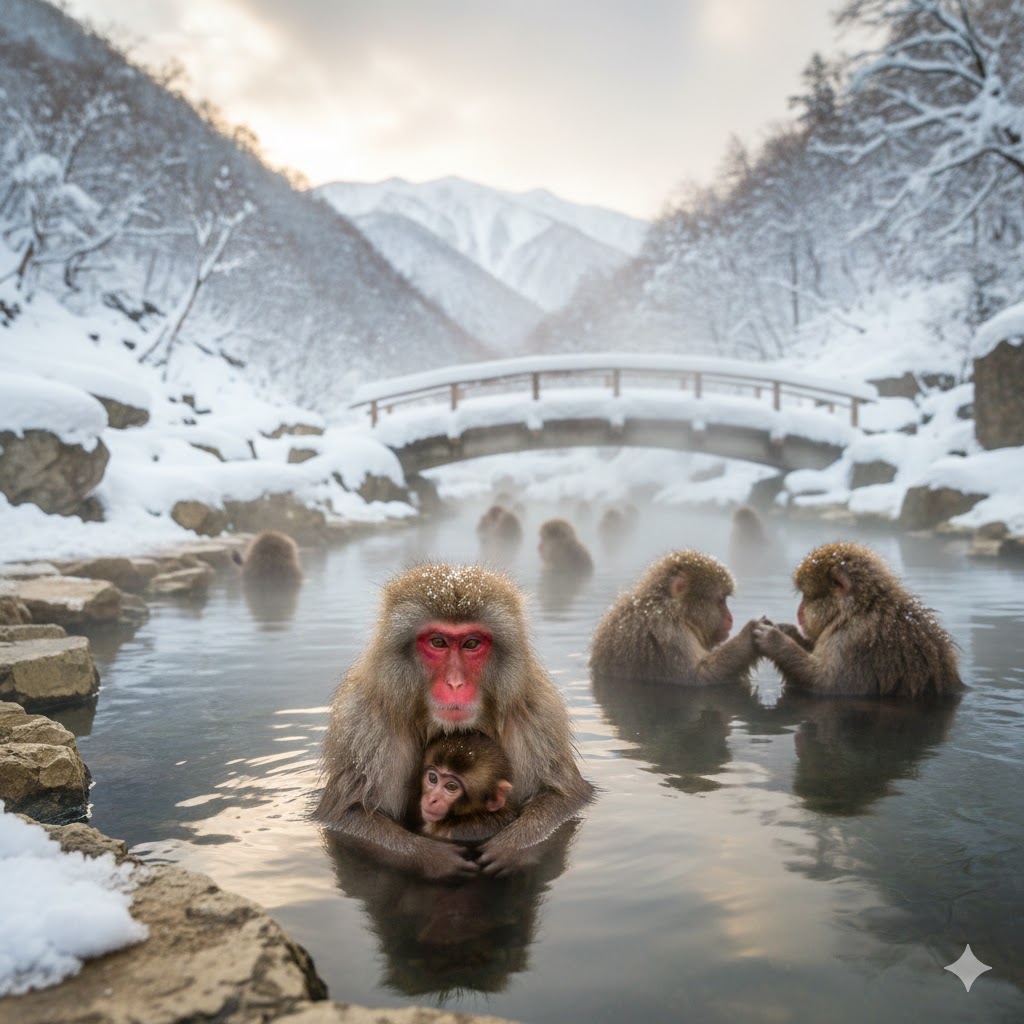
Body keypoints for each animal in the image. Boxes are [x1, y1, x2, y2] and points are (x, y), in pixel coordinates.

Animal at [313, 562, 595, 880]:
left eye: (471, 643)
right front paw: (432, 857)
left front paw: (512, 846)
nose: (455, 684)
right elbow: (350, 814)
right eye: (438, 642)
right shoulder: (364, 723)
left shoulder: (537, 713)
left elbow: (563, 797)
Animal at [752, 541, 964, 698]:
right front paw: (789, 631)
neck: (859, 609)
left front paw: (774, 640)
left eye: (806, 596)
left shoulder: (852, 639)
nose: (799, 612)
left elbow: (829, 686)